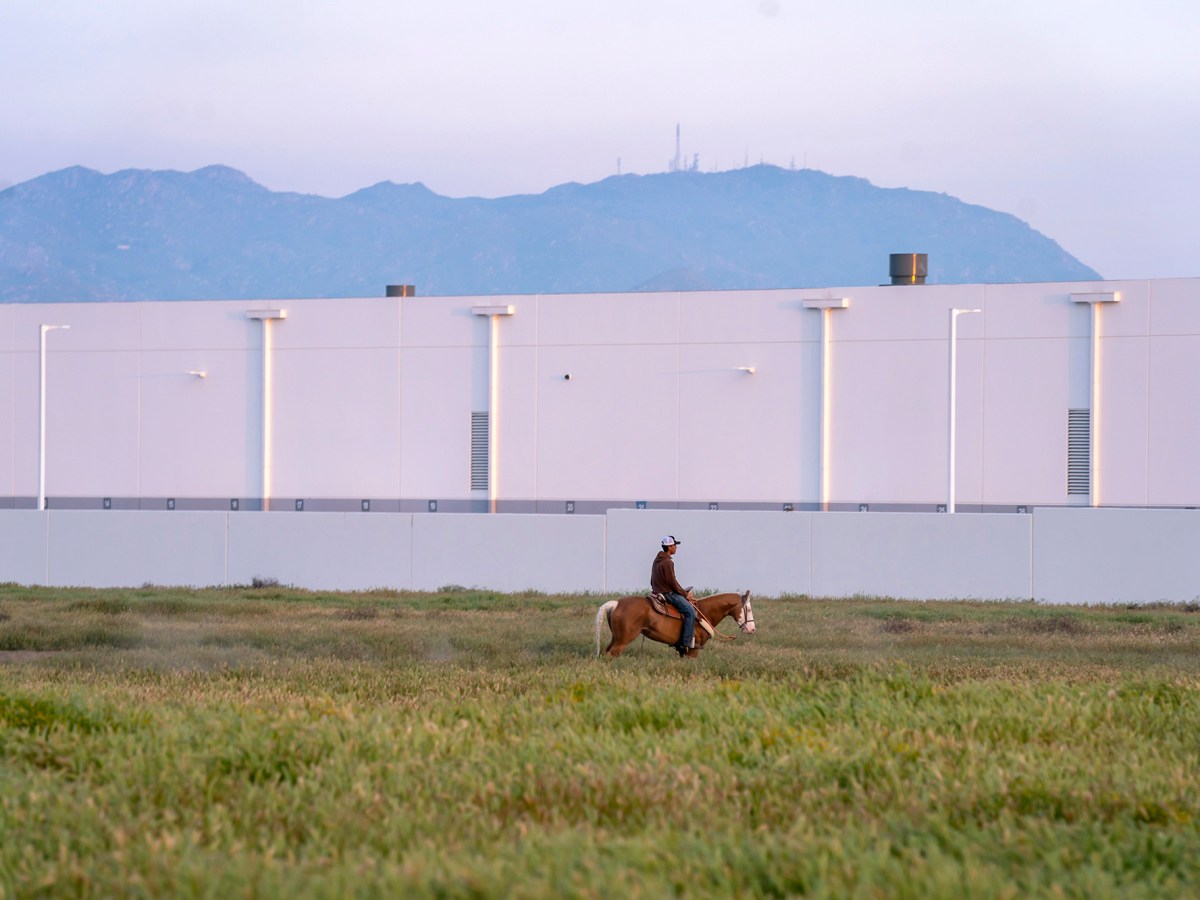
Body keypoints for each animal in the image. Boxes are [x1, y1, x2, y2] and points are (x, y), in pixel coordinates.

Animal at [595, 595, 753, 657]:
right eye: (749, 609)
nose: (752, 629)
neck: (704, 613)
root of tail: (616, 603)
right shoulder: (693, 649)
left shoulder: (682, 649)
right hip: (622, 641)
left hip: (615, 638)